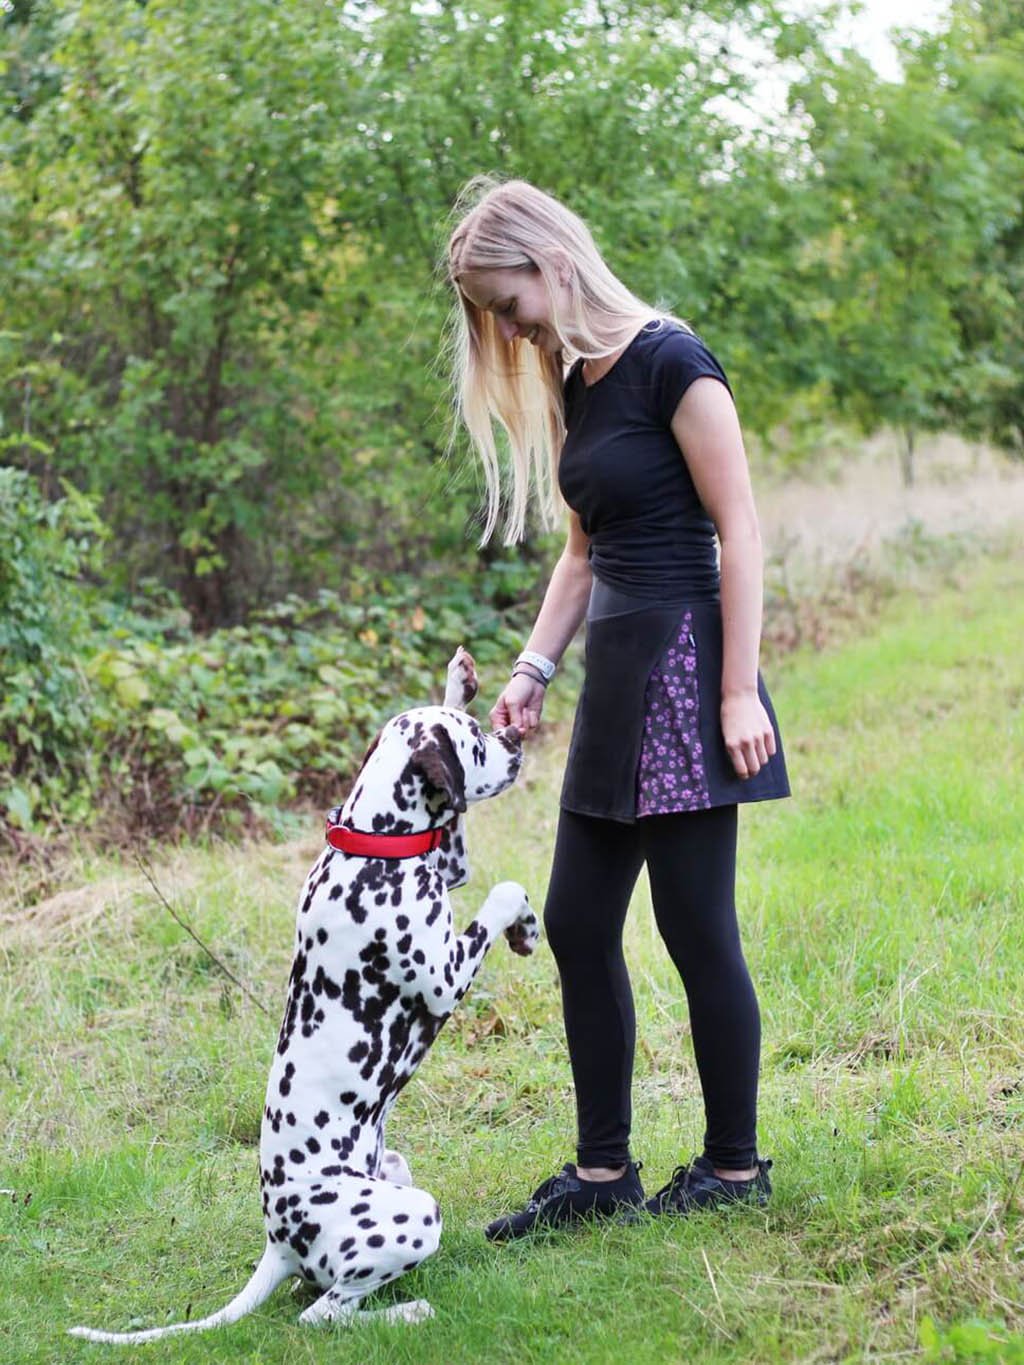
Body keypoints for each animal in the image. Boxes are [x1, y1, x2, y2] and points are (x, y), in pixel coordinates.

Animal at [70, 644, 537, 1337]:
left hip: (395, 1171)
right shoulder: (444, 977)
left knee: (323, 1296)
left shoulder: (447, 865)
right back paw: (410, 1311)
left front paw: (457, 681)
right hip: (414, 1214)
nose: (513, 739)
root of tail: (278, 1243)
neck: (374, 847)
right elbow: (503, 891)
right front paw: (522, 920)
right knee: (322, 1315)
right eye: (477, 741)